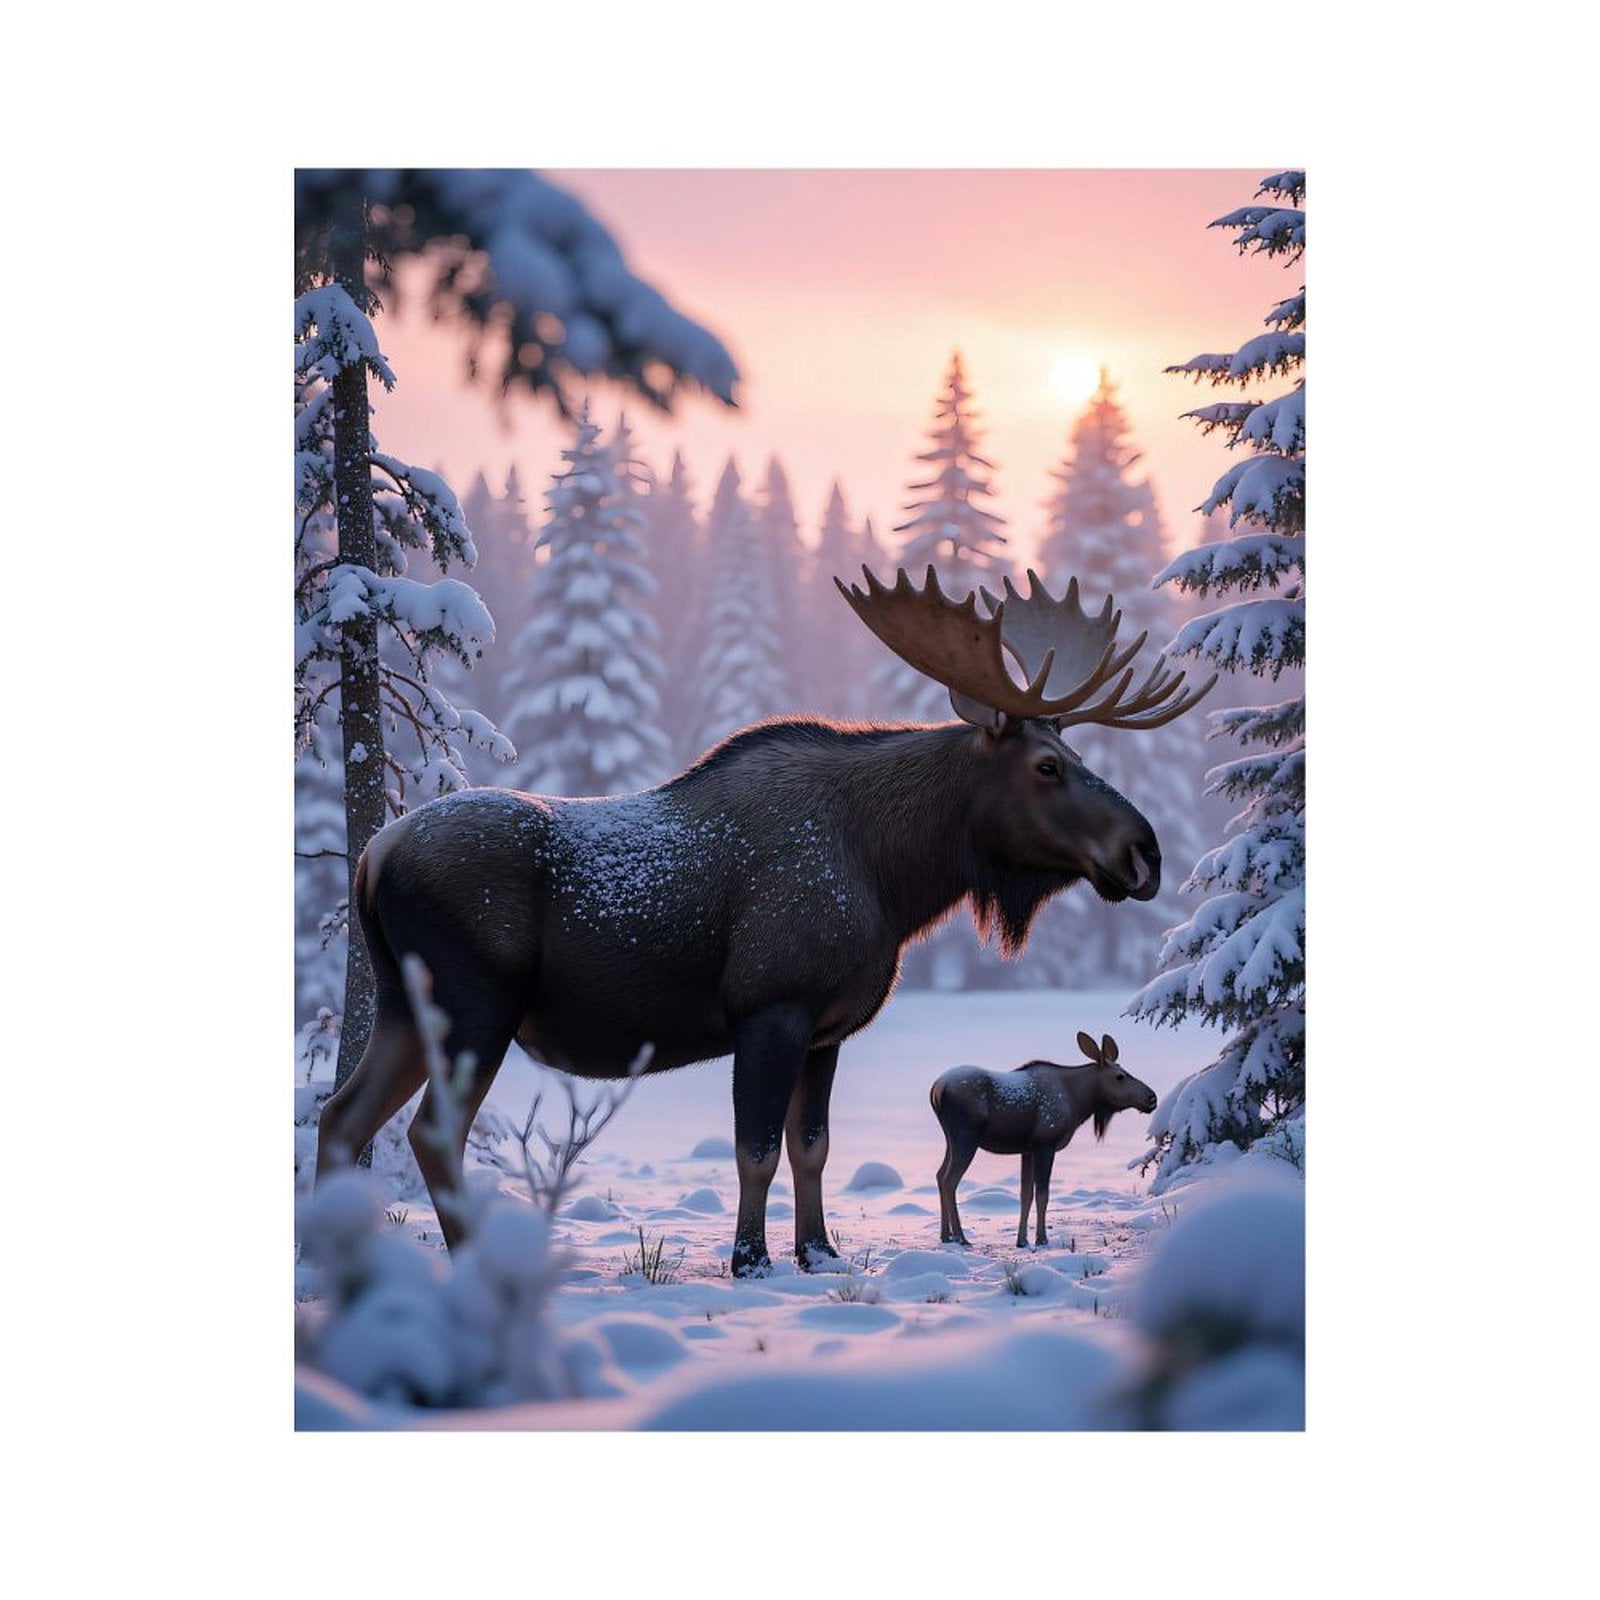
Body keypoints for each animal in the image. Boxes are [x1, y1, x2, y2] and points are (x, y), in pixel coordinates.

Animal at [931, 1031, 1159, 1250]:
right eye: (1120, 1076)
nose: (1152, 1098)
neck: (1079, 1102)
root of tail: (937, 1089)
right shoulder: (1045, 1144)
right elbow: (1042, 1194)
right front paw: (1041, 1239)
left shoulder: (1027, 1149)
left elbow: (1026, 1195)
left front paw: (1022, 1241)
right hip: (966, 1136)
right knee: (950, 1180)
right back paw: (961, 1237)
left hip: (951, 1139)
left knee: (940, 1175)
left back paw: (946, 1236)